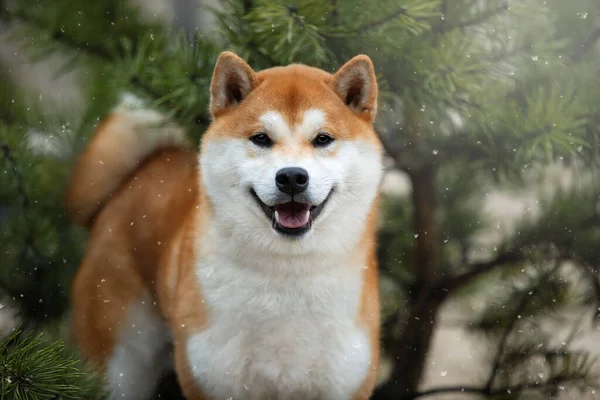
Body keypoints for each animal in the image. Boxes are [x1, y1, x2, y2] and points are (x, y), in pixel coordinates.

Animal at [67, 51, 384, 398]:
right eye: (261, 138)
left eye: (323, 139)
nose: (291, 176)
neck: (285, 275)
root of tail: (137, 176)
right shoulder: (213, 380)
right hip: (121, 362)